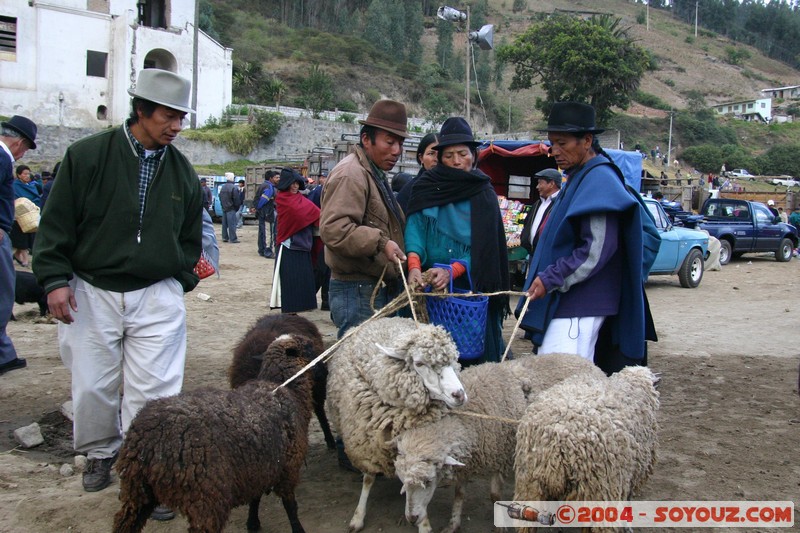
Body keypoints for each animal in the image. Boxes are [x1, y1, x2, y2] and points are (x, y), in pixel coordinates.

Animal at [111, 334, 316, 528]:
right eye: (307, 345)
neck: (284, 386)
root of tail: (149, 440)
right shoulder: (288, 467)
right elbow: (291, 506)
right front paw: (297, 528)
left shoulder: (260, 467)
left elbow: (255, 499)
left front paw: (252, 523)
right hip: (206, 497)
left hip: (135, 491)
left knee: (124, 522)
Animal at [324, 318, 466, 528]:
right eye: (419, 363)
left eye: (452, 361)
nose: (459, 395)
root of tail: (383, 319)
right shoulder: (366, 446)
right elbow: (368, 479)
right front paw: (358, 516)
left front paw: (423, 523)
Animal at [394, 354, 608, 532]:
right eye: (403, 481)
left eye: (429, 481)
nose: (412, 518)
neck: (469, 417)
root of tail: (589, 362)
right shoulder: (467, 460)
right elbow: (459, 493)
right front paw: (453, 523)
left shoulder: (500, 453)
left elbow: (495, 496)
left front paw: (501, 525)